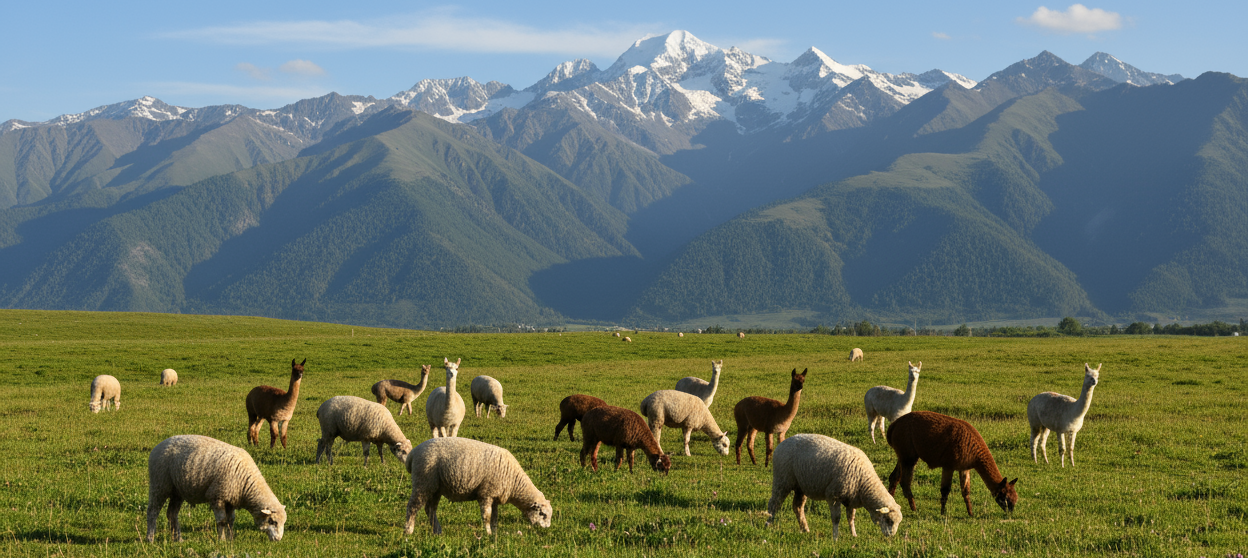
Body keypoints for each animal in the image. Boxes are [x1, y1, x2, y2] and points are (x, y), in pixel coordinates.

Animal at [146, 434, 286, 542]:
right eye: (272, 521)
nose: (278, 539)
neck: (246, 484)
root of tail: (158, 446)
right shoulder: (217, 496)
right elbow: (222, 521)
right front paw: (221, 541)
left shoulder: (230, 499)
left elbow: (231, 520)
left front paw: (230, 539)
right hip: (159, 483)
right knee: (152, 511)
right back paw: (150, 539)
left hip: (177, 490)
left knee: (172, 513)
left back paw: (178, 539)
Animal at [403, 437, 553, 535]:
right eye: (542, 514)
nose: (546, 529)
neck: (514, 481)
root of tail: (413, 453)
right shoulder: (486, 493)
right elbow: (486, 516)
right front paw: (488, 533)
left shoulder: (495, 496)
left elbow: (494, 517)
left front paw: (494, 533)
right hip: (423, 481)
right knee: (412, 507)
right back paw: (408, 531)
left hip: (435, 487)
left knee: (430, 509)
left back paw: (437, 531)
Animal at [766, 434, 902, 540]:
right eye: (889, 520)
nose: (891, 536)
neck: (864, 482)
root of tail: (782, 443)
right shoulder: (833, 495)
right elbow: (836, 519)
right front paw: (835, 538)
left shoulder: (851, 498)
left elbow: (851, 518)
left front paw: (853, 534)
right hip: (782, 480)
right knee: (774, 503)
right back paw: (768, 524)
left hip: (800, 486)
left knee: (797, 507)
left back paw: (805, 529)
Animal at [886, 410, 1018, 516]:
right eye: (1005, 496)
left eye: (1015, 498)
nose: (1011, 511)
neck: (974, 452)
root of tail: (893, 425)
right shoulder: (948, 465)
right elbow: (945, 490)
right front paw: (942, 513)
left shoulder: (964, 468)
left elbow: (965, 491)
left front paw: (970, 513)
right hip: (908, 454)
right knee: (905, 482)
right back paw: (914, 508)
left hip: (904, 454)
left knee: (894, 477)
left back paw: (891, 502)